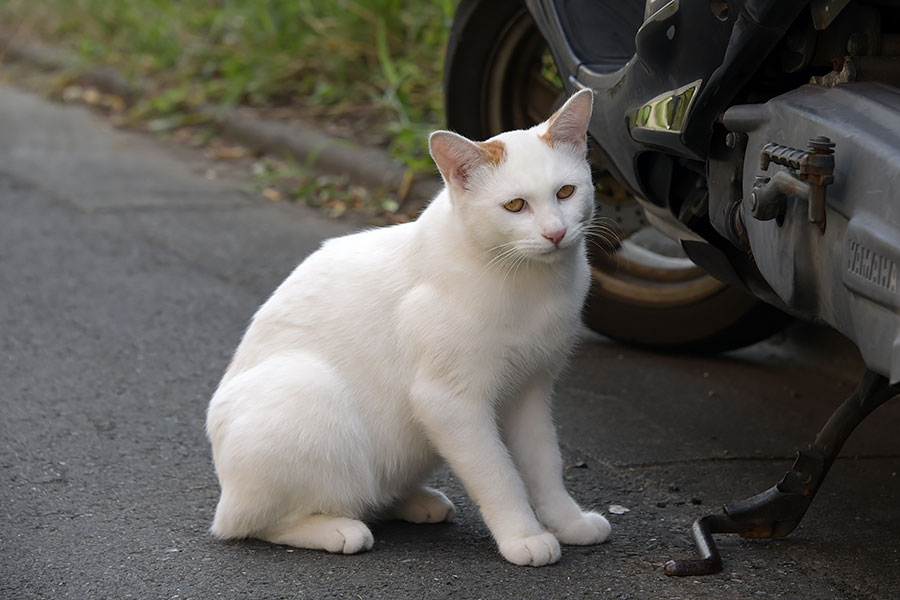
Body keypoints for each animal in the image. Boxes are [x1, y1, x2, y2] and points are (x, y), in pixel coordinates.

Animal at [207, 90, 608, 568]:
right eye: (515, 206)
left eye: (566, 192)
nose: (555, 233)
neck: (531, 284)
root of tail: (226, 491)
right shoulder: (449, 401)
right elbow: (498, 475)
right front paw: (524, 536)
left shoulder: (530, 392)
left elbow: (545, 465)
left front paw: (569, 523)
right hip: (308, 389)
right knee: (254, 522)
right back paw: (338, 528)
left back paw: (414, 502)